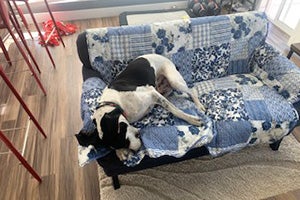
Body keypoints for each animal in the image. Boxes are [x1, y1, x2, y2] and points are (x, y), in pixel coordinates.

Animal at [76, 54, 205, 159]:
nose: (137, 148)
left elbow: (176, 110)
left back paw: (199, 105)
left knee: (191, 91)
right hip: (163, 88)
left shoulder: (152, 94)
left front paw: (192, 119)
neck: (115, 102)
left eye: (122, 131)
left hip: (174, 81)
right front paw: (120, 152)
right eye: (119, 142)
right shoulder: (154, 95)